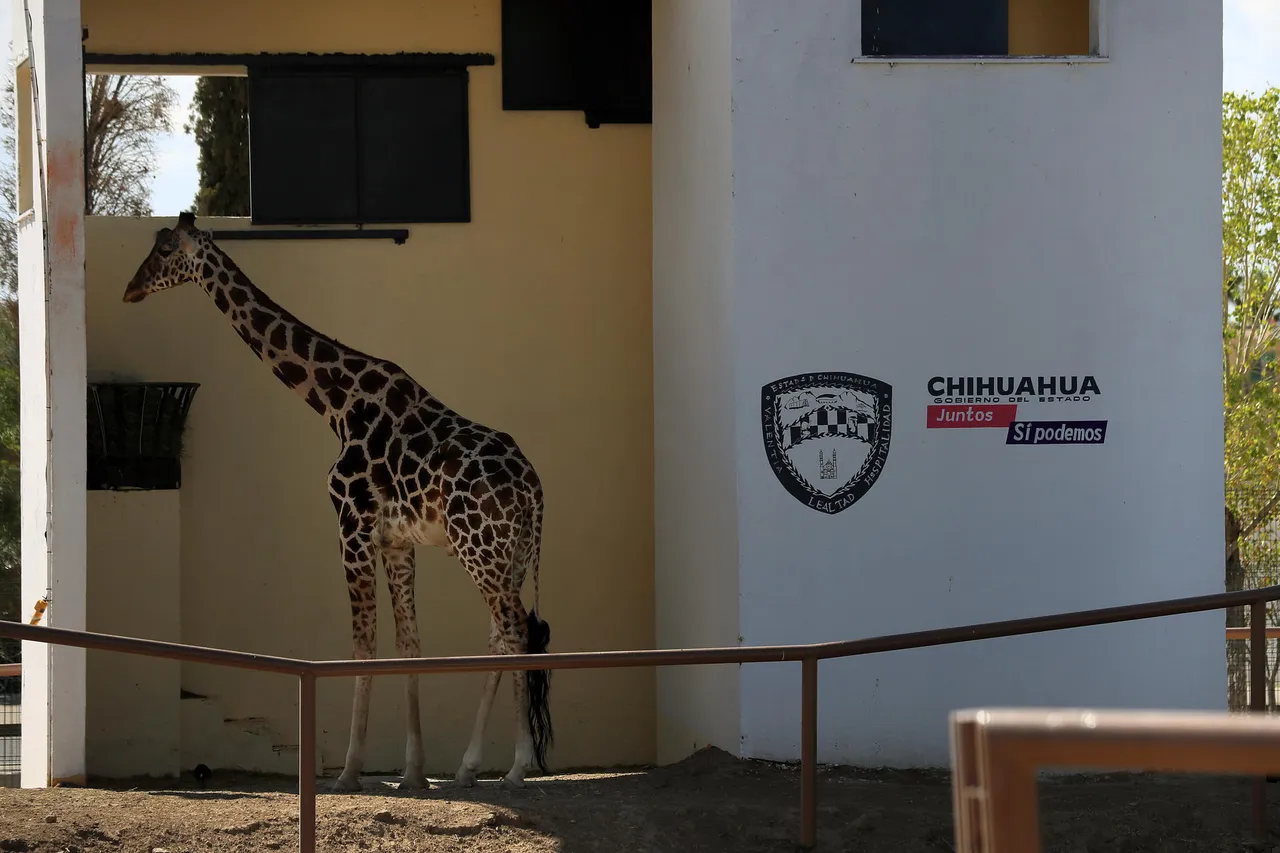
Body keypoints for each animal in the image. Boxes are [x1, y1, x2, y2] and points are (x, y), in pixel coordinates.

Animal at [122, 212, 554, 792]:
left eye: (166, 250)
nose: (130, 289)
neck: (337, 404)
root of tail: (534, 489)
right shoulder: (395, 541)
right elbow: (408, 643)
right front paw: (412, 773)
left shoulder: (351, 524)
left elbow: (361, 644)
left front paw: (348, 771)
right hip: (509, 552)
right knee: (502, 633)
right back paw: (468, 767)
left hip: (479, 547)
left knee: (514, 629)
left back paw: (517, 767)